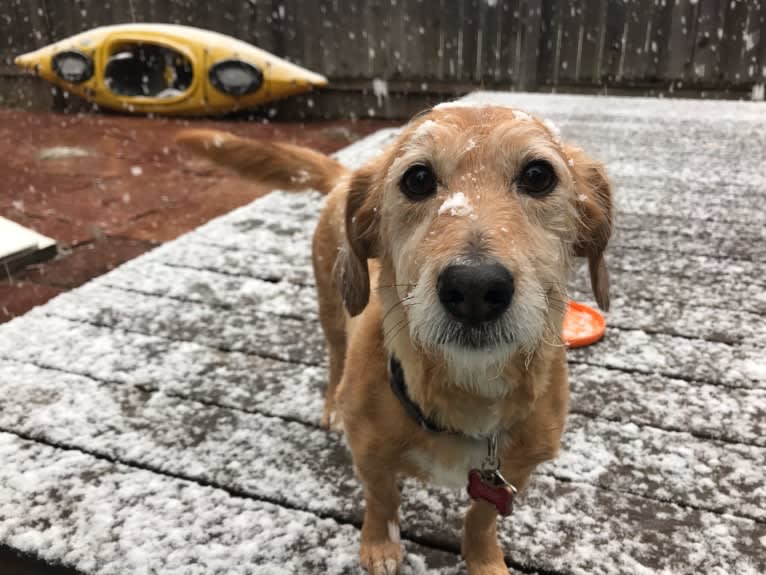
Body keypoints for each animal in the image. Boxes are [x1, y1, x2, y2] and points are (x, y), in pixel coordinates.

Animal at [178, 104, 612, 575]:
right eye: (417, 178)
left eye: (538, 174)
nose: (475, 288)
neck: (468, 394)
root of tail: (347, 176)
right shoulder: (369, 453)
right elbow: (382, 498)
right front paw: (380, 546)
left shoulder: (515, 470)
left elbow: (481, 518)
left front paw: (485, 561)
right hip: (332, 309)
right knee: (335, 356)